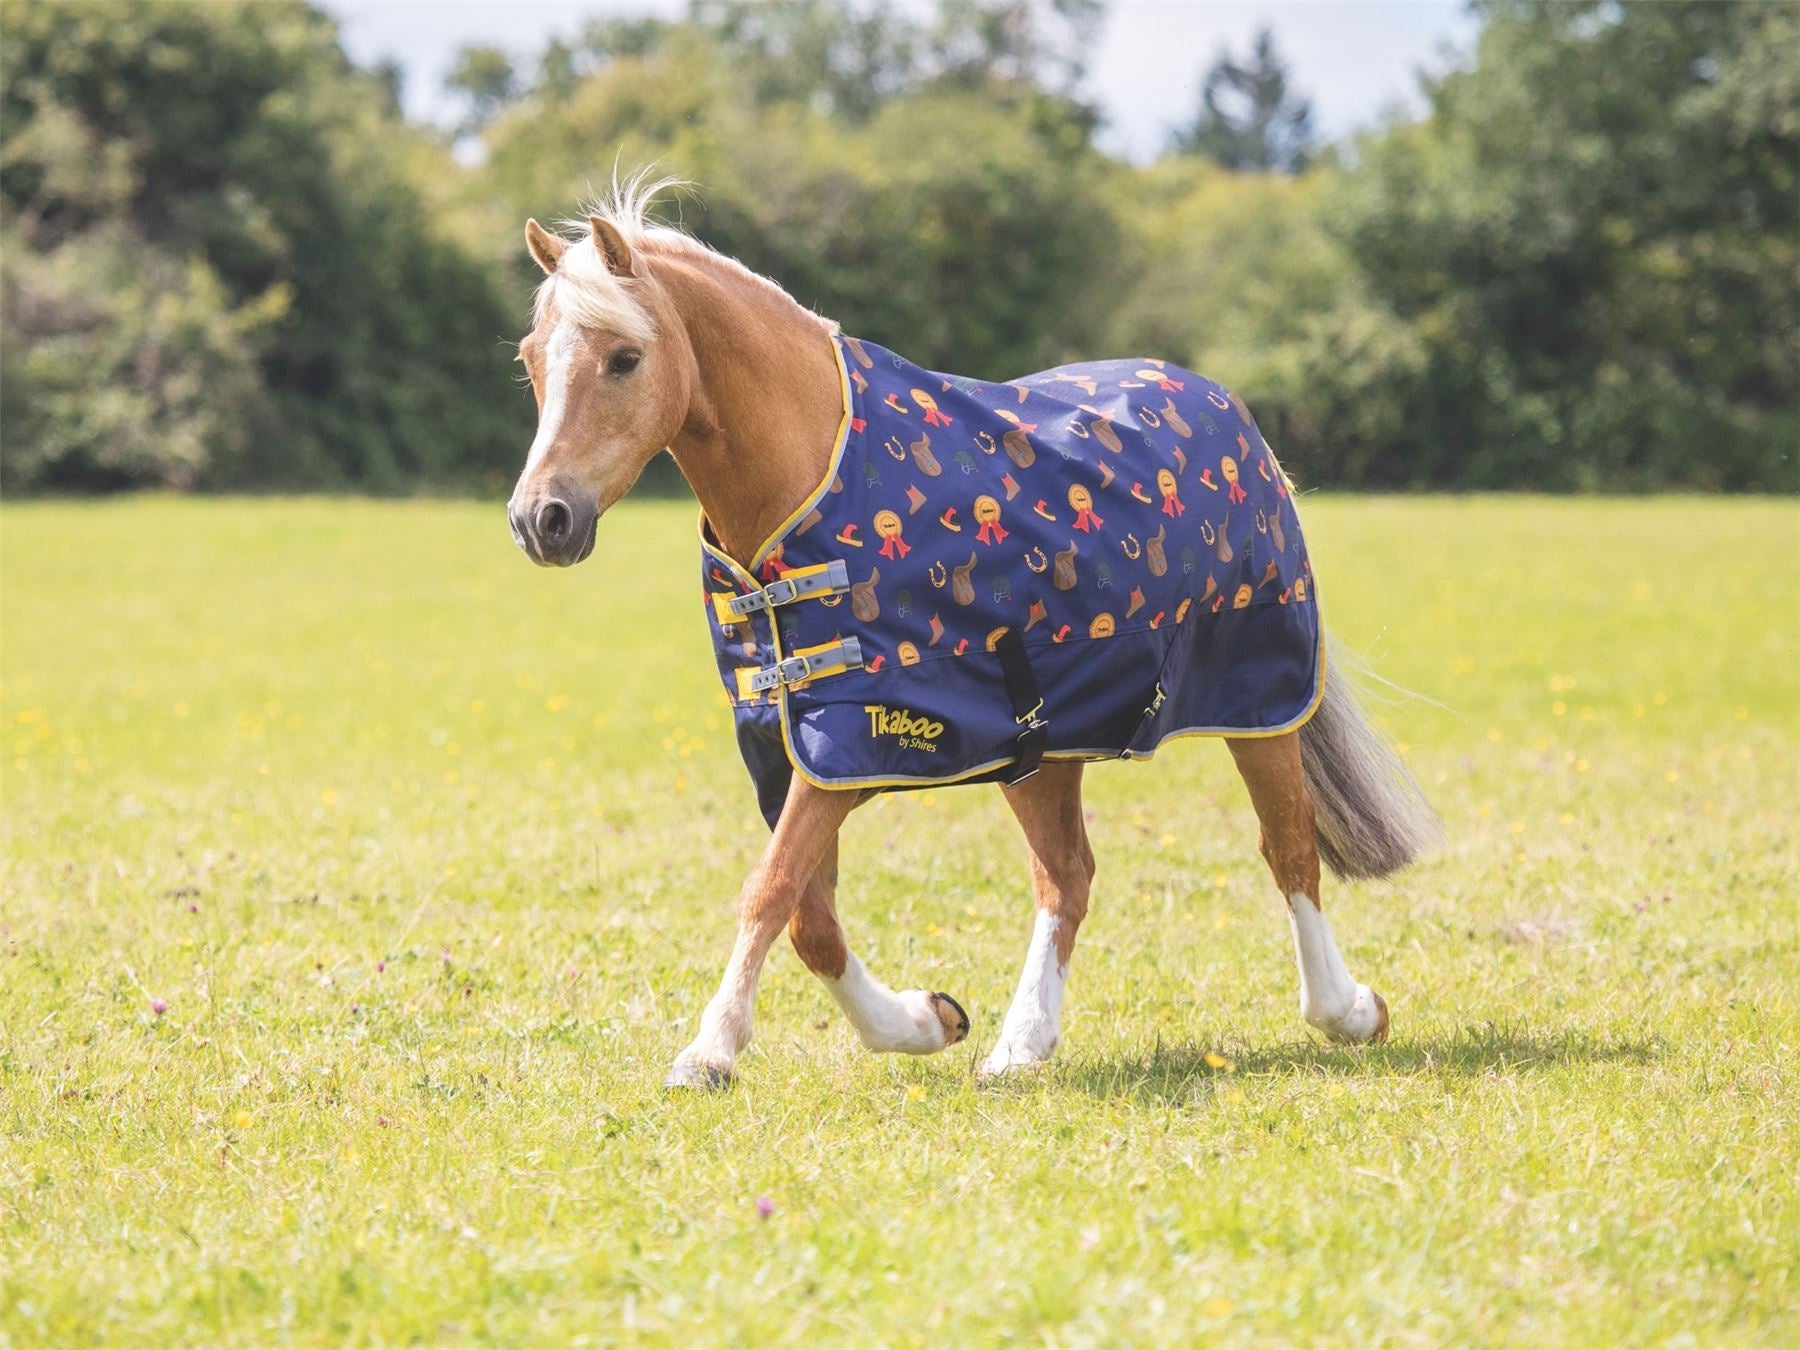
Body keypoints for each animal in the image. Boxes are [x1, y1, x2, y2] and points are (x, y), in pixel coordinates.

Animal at [504, 177, 1441, 1088]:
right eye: (531, 362)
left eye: (625, 359)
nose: (540, 519)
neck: (811, 485)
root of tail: (1228, 411)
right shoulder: (794, 749)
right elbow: (811, 918)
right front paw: (925, 1021)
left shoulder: (852, 740)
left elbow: (771, 890)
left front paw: (709, 1052)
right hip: (1044, 745)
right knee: (1067, 877)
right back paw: (1021, 1044)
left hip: (1261, 702)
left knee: (1288, 851)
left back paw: (1349, 1012)